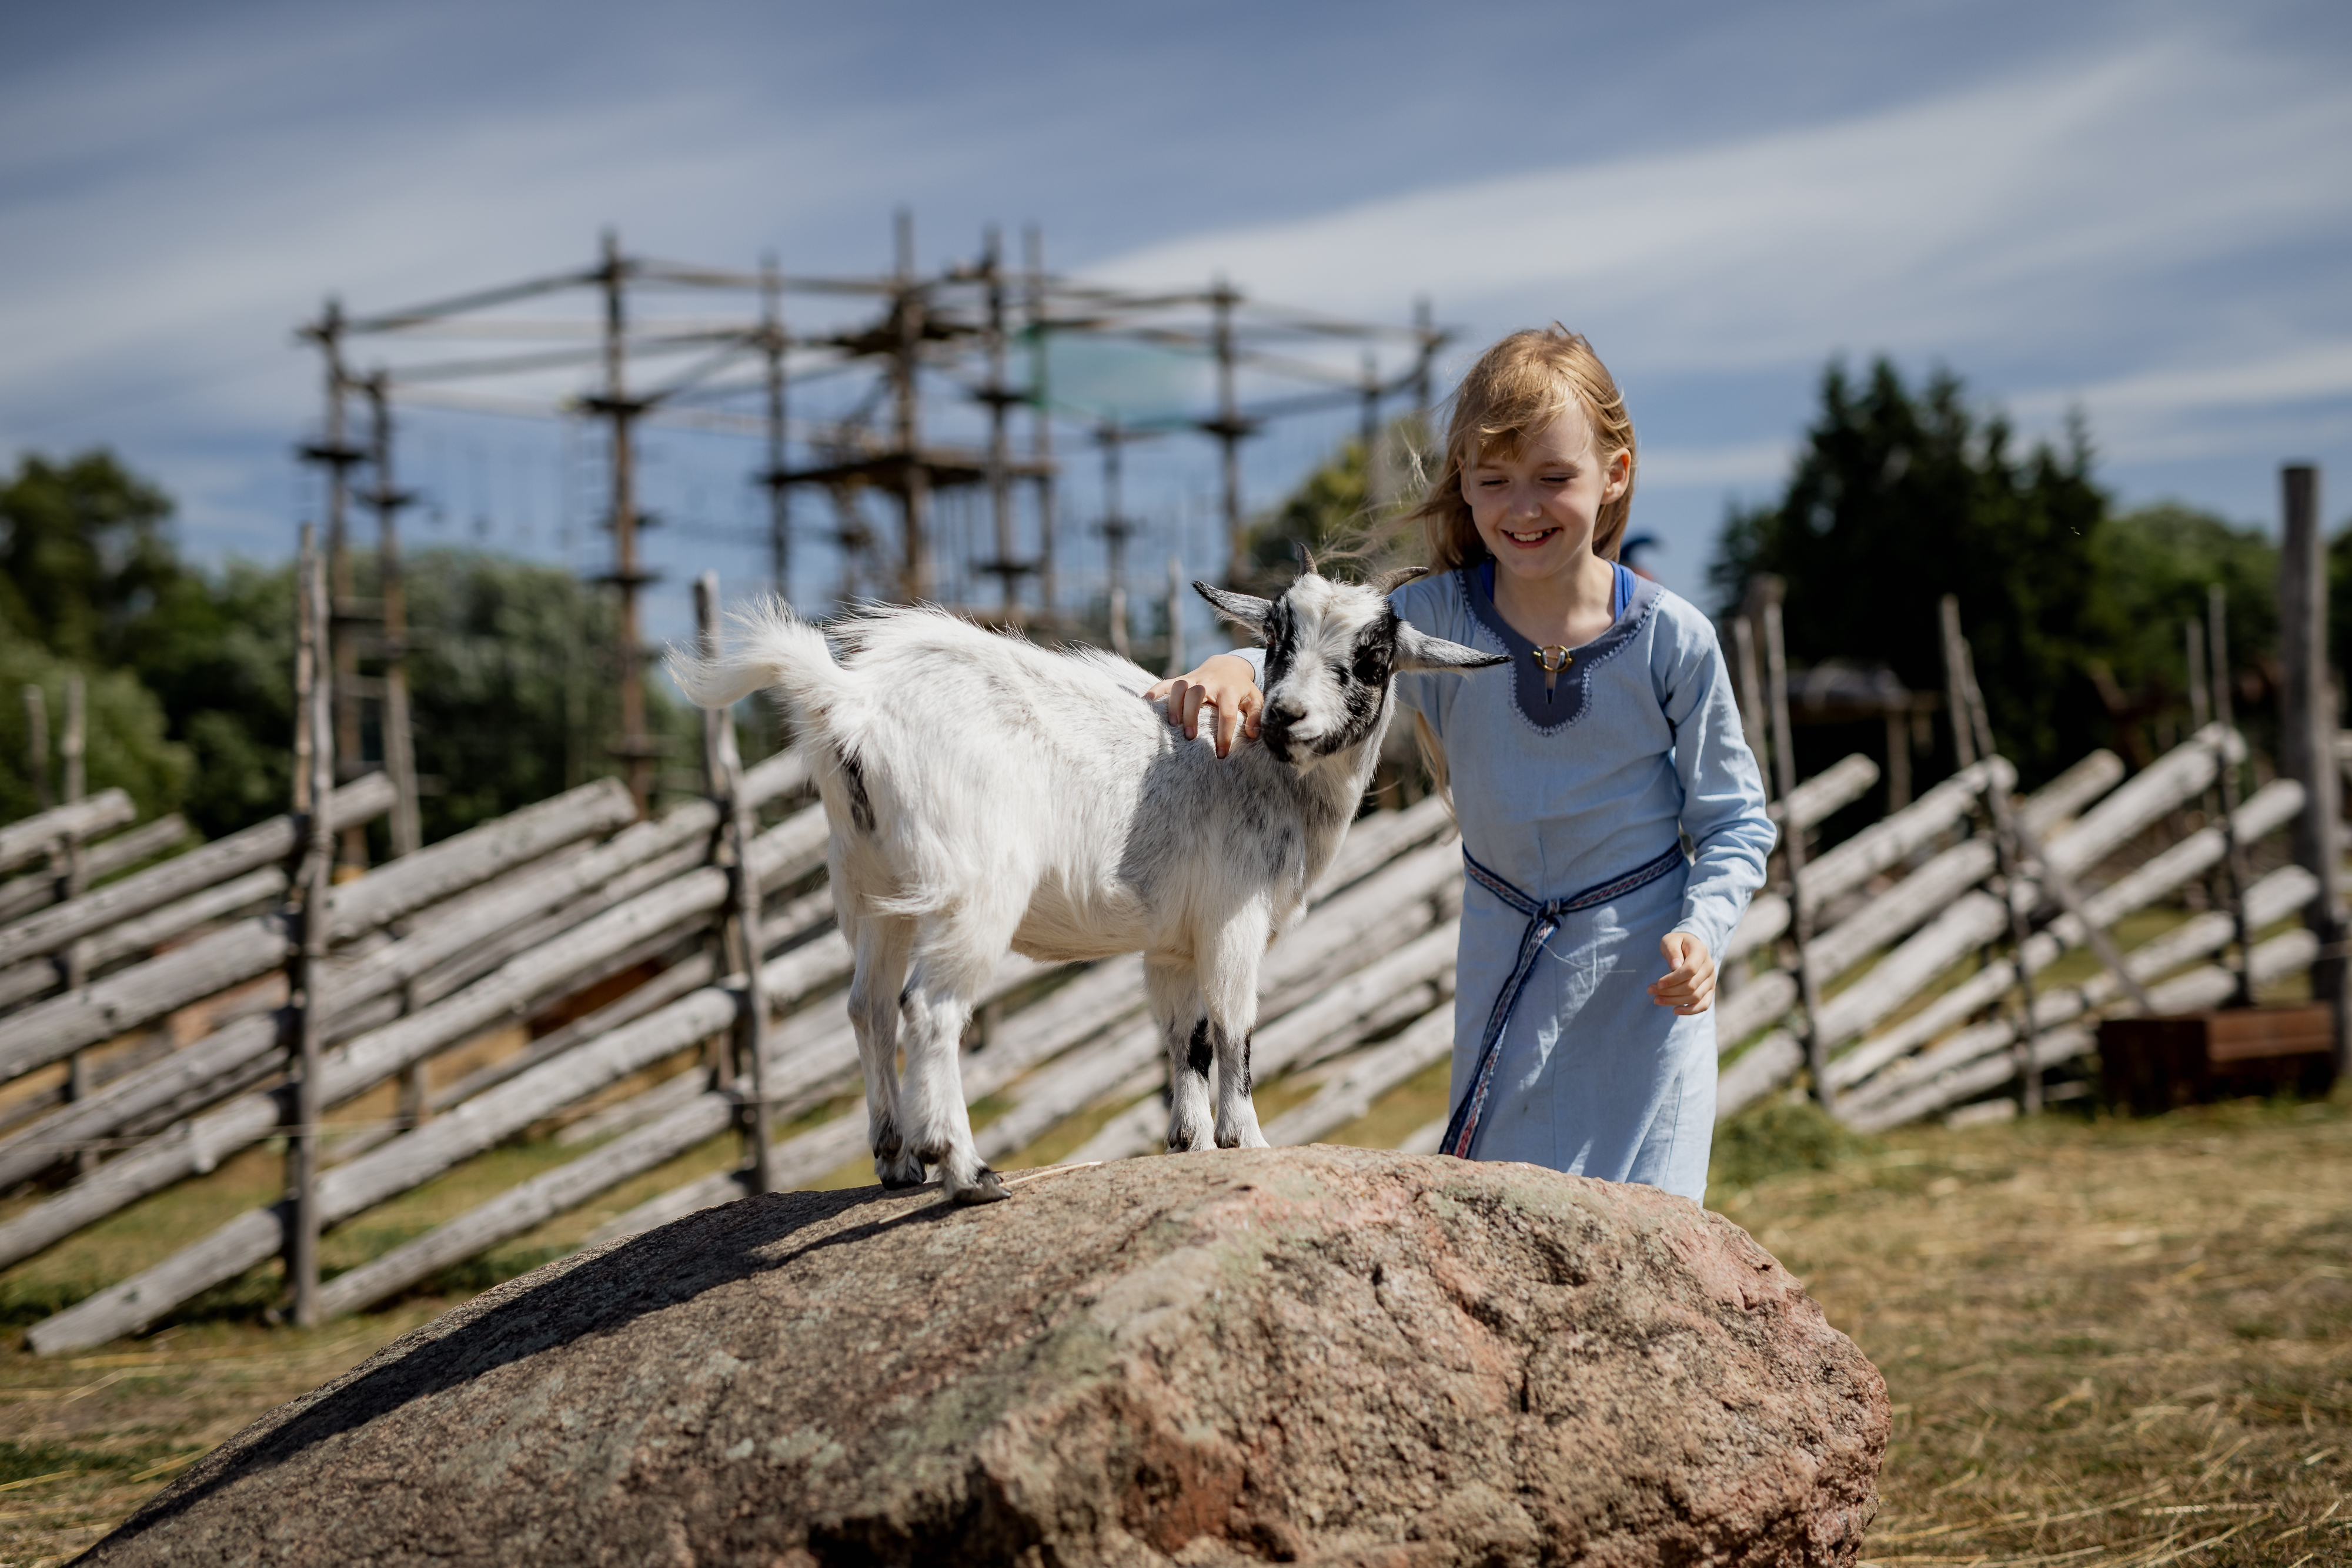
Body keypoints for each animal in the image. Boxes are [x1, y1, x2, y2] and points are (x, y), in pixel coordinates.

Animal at [673, 576, 1496, 1203]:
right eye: (1276, 641)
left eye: (1372, 656)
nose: (1285, 716)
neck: (1266, 775)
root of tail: (853, 704)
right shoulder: (1231, 921)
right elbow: (1236, 1028)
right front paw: (1249, 1141)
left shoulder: (1172, 945)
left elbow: (1186, 1039)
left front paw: (1190, 1144)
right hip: (975, 887)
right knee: (928, 1009)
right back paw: (965, 1172)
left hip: (873, 887)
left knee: (867, 1007)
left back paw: (896, 1160)